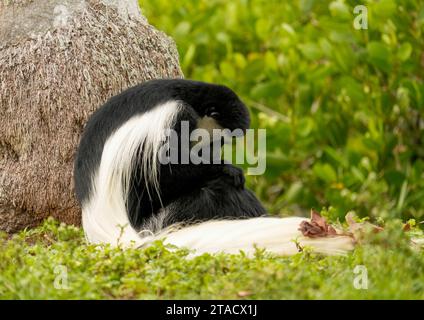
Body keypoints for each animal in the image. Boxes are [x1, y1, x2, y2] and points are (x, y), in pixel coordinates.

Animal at [74, 79, 352, 255]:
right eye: (220, 139)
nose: (213, 150)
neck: (187, 97)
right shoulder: (175, 117)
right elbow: (168, 173)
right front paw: (227, 169)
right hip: (161, 219)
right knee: (214, 193)